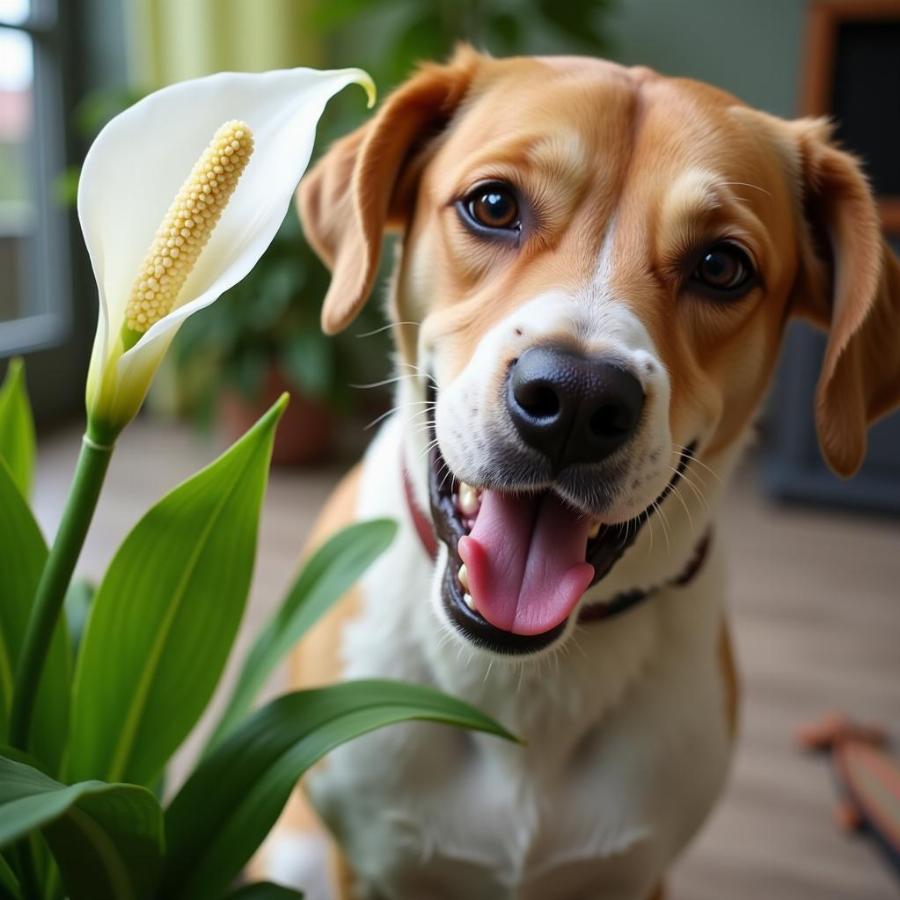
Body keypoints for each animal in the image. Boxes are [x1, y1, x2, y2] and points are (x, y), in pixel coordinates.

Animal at [253, 49, 900, 900]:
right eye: (493, 205)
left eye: (722, 266)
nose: (575, 401)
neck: (525, 683)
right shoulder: (359, 861)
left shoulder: (636, 873)